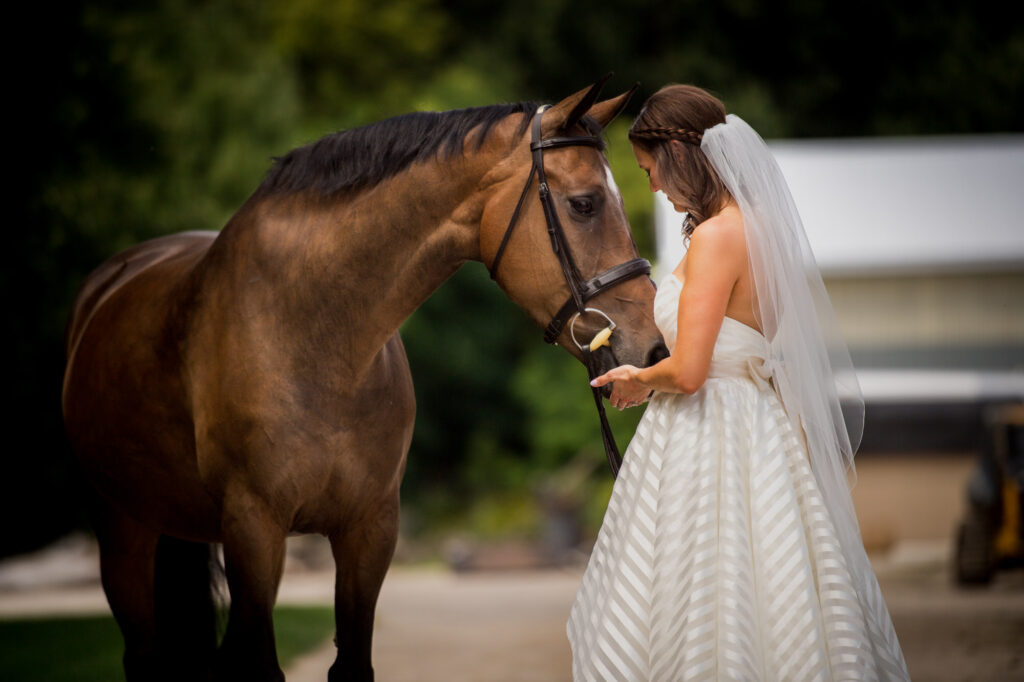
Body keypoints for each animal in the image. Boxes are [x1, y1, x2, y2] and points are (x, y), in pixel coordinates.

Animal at [64, 76, 671, 675]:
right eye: (584, 204)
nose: (654, 347)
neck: (314, 337)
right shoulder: (253, 530)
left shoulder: (370, 530)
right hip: (123, 528)